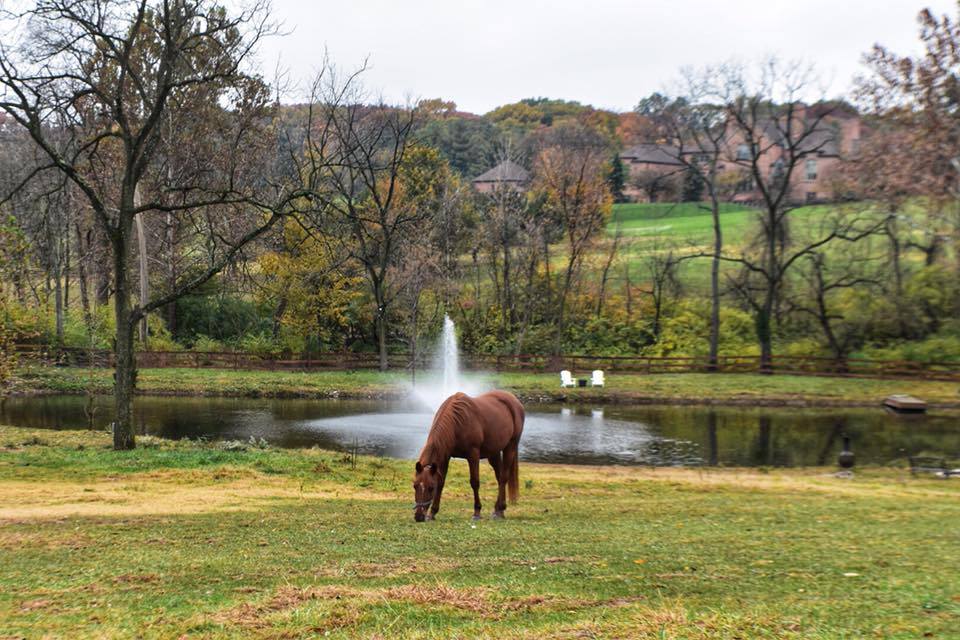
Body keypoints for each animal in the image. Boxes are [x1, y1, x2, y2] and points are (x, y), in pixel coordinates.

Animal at [412, 388, 524, 524]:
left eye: (430, 488)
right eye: (415, 486)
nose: (418, 516)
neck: (457, 423)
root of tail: (514, 400)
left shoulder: (473, 455)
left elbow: (474, 482)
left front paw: (477, 512)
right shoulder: (445, 457)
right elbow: (441, 482)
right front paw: (433, 513)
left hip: (510, 447)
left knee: (503, 478)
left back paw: (500, 510)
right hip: (494, 453)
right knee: (499, 477)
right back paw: (498, 509)